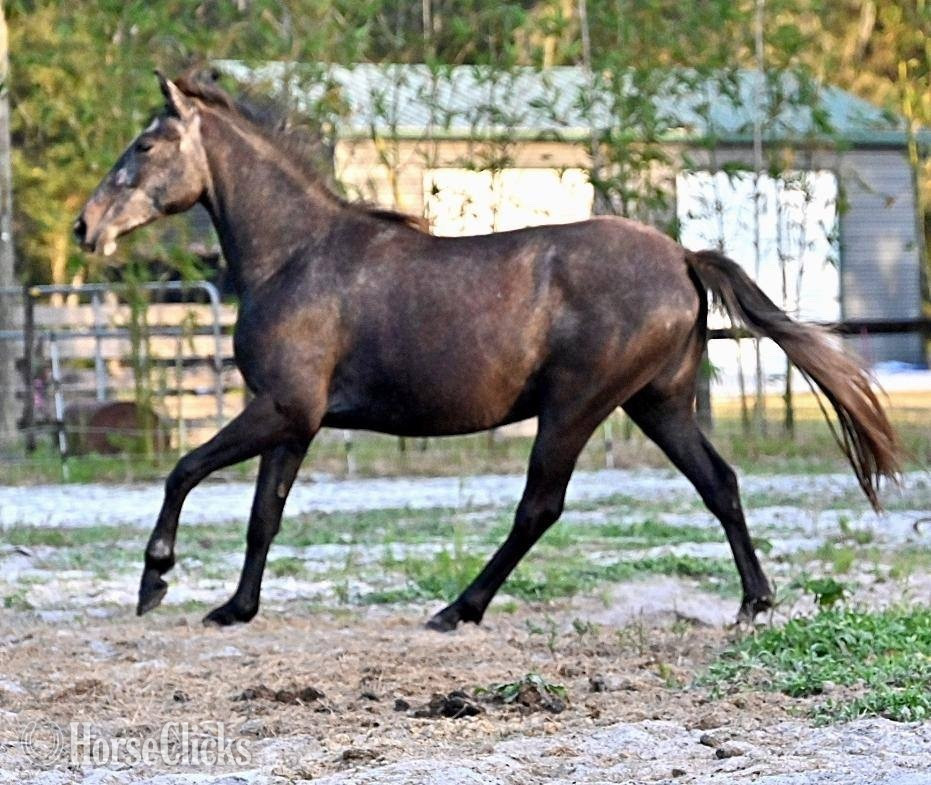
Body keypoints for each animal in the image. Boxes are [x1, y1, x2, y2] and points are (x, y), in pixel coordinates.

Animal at [74, 71, 899, 630]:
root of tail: (680, 256)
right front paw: (234, 607)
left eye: (145, 144)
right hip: (656, 404)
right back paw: (753, 603)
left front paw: (155, 582)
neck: (295, 255)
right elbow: (262, 516)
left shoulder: (280, 408)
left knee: (540, 505)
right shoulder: (295, 421)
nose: (87, 226)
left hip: (575, 407)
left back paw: (457, 608)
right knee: (718, 483)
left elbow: (183, 470)